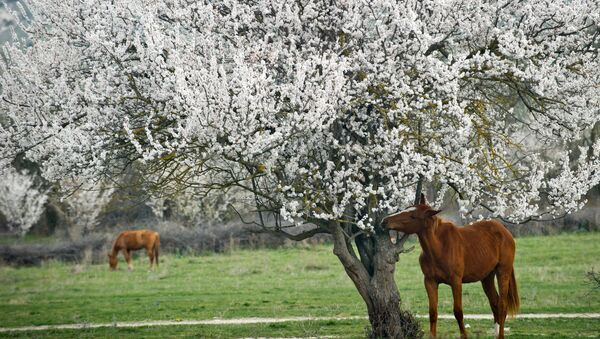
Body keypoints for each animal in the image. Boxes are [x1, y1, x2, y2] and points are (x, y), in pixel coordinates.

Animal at [386, 194, 516, 339]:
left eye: (413, 216)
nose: (385, 221)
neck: (439, 247)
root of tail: (505, 231)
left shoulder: (456, 282)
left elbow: (458, 312)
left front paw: (464, 336)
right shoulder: (430, 282)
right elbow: (433, 313)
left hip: (503, 272)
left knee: (502, 306)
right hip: (487, 277)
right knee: (495, 304)